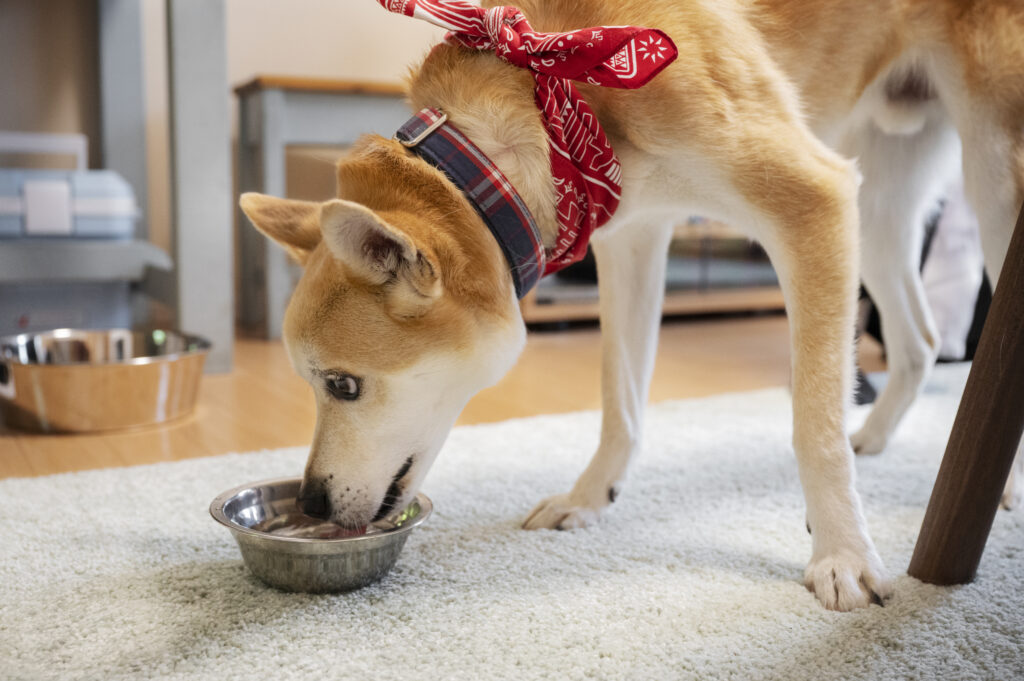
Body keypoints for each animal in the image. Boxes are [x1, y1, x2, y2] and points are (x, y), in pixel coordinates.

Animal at [241, 1, 1024, 610]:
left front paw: (843, 554)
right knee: (922, 339)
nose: (309, 503)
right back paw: (882, 439)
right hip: (882, 200)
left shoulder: (813, 199)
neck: (553, 94)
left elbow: (813, 422)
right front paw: (588, 498)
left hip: (990, 176)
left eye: (343, 385)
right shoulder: (632, 236)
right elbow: (620, 398)